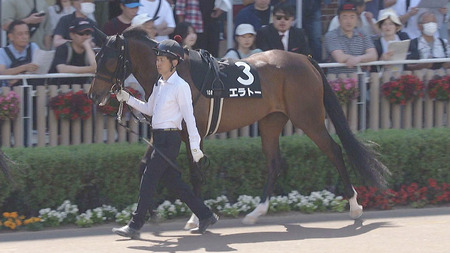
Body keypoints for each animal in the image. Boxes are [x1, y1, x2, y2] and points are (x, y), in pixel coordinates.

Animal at [89, 27, 390, 227]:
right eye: (96, 57)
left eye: (110, 59)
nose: (94, 95)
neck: (175, 74)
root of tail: (305, 59)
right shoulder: (168, 132)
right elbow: (147, 167)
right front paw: (150, 213)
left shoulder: (192, 133)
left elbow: (194, 174)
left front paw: (195, 218)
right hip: (271, 121)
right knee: (274, 163)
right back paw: (256, 212)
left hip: (309, 119)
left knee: (335, 151)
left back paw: (354, 206)